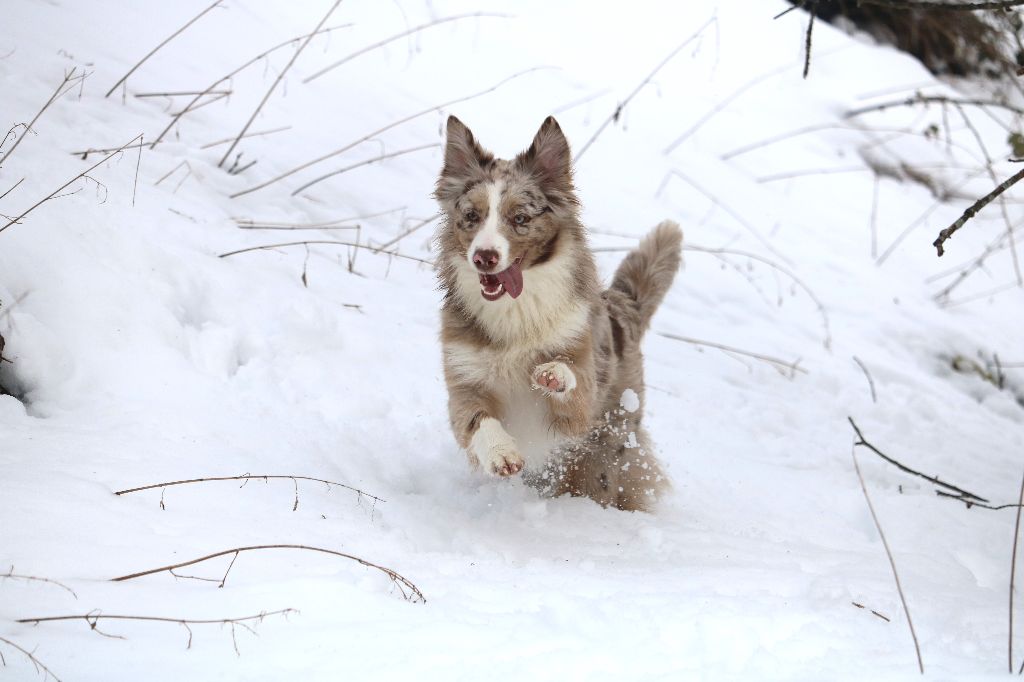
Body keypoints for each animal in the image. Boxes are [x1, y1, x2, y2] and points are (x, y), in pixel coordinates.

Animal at [432, 115, 679, 509]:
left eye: (520, 217)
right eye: (472, 215)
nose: (484, 257)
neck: (513, 310)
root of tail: (622, 304)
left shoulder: (581, 407)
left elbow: (571, 381)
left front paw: (554, 374)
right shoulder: (464, 380)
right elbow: (476, 421)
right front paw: (501, 453)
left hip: (608, 444)